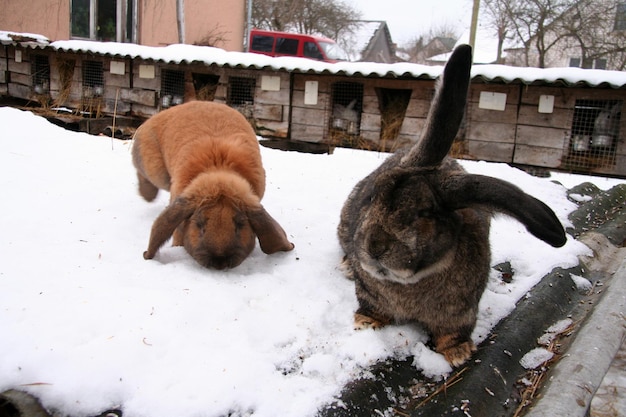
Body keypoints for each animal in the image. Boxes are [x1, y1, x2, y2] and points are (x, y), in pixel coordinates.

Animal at [132, 101, 292, 270]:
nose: (219, 262)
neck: (218, 167)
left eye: (240, 225)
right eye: (199, 225)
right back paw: (147, 195)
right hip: (155, 170)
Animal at [336, 44, 564, 366]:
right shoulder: (368, 292)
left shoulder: (461, 311)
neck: (410, 283)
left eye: (424, 212)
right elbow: (371, 306)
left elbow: (453, 331)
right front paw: (366, 322)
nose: (375, 248)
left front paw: (458, 353)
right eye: (372, 196)